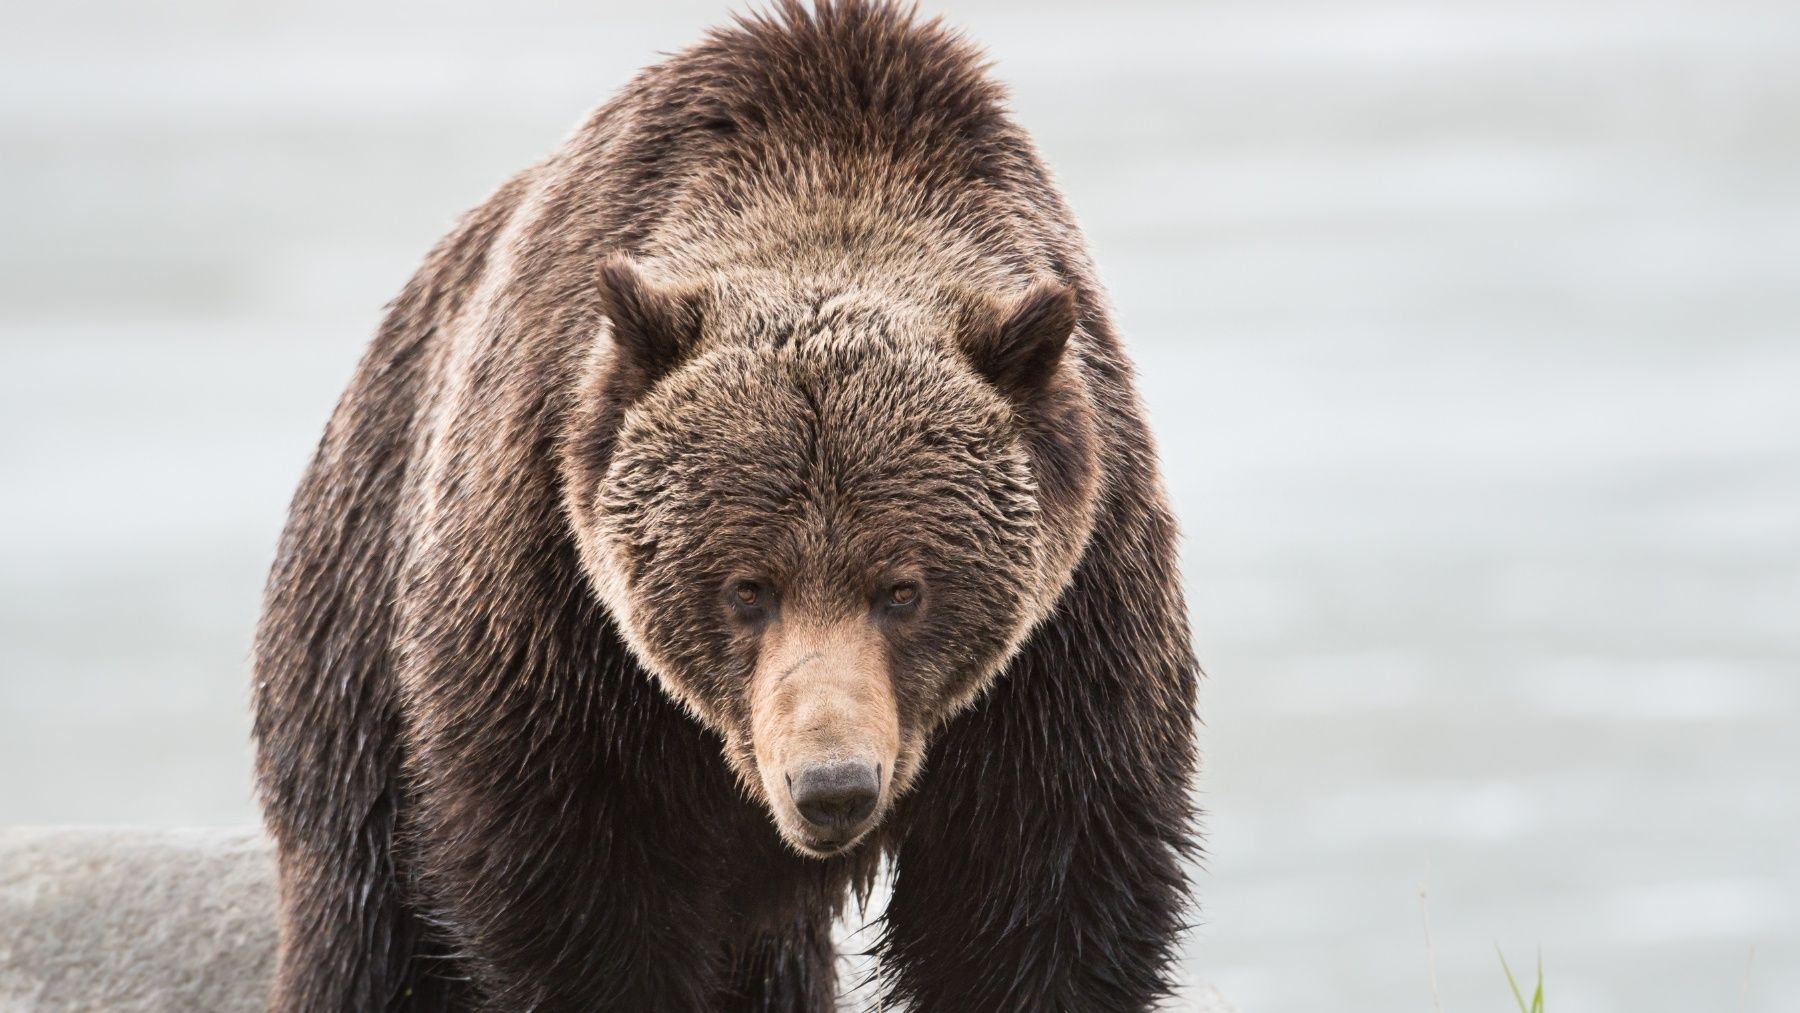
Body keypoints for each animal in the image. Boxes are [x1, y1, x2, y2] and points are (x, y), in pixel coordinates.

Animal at [251, 2, 1199, 1010]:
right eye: (748, 587)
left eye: (904, 588)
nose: (833, 784)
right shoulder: (556, 616)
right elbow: (577, 895)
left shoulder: (1070, 628)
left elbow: (1038, 895)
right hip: (357, 682)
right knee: (368, 940)